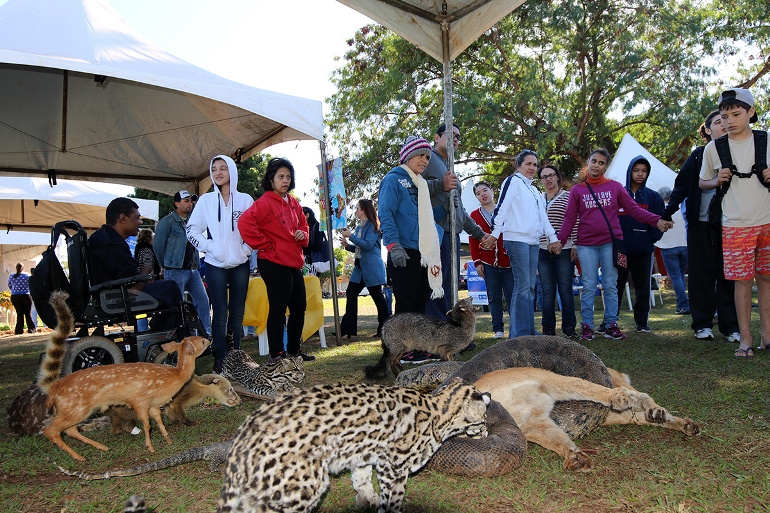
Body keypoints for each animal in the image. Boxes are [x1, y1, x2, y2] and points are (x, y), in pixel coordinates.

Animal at [216, 378, 488, 510]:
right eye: (484, 419)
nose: (486, 431)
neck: (439, 410)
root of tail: (246, 433)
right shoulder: (393, 467)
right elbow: (393, 499)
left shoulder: (363, 454)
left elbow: (361, 480)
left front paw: (367, 500)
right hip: (302, 487)